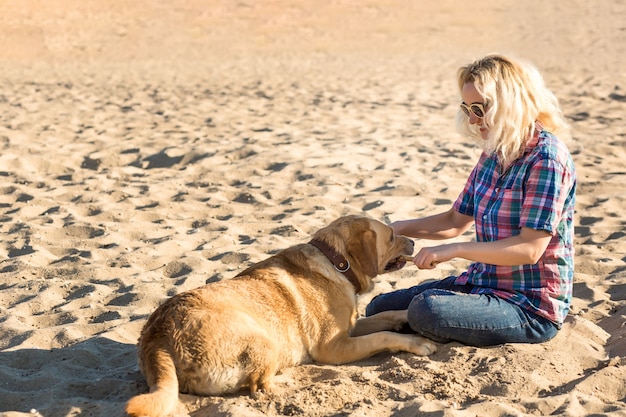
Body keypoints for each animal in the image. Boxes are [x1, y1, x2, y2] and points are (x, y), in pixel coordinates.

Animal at [125, 214, 436, 416]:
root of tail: (157, 337)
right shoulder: (334, 346)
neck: (337, 262)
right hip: (264, 341)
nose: (413, 242)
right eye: (392, 236)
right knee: (259, 387)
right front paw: (417, 343)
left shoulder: (350, 326)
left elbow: (387, 316)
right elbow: (382, 335)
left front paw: (406, 316)